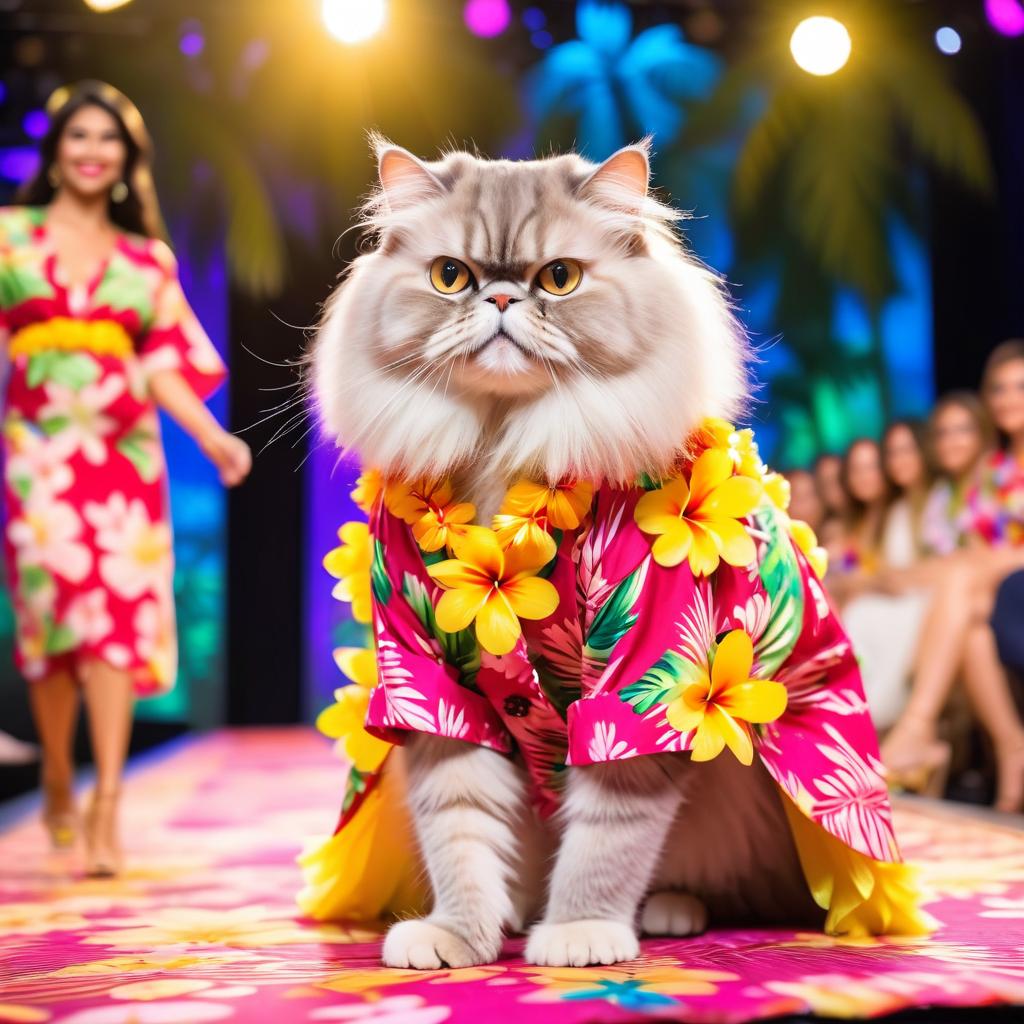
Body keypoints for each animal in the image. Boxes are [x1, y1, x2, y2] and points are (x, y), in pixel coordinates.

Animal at [311, 138, 815, 966]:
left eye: (559, 279)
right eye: (451, 277)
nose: (501, 301)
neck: (502, 447)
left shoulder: (640, 693)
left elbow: (606, 843)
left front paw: (580, 934)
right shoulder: (435, 694)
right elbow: (461, 836)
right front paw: (459, 936)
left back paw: (668, 911)